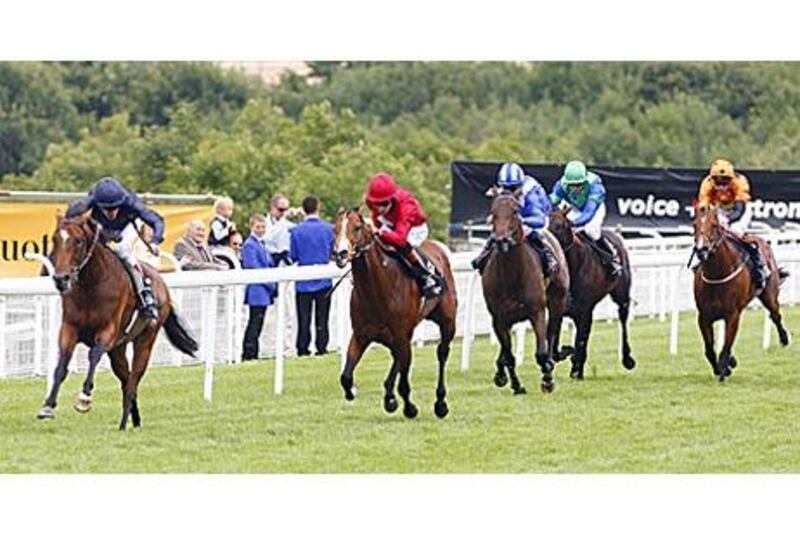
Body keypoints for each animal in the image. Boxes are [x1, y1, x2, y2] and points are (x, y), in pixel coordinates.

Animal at [36, 212, 200, 428]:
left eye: (79, 241)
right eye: (55, 240)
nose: (61, 279)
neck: (91, 286)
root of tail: (162, 283)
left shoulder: (108, 331)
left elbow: (94, 356)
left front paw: (84, 399)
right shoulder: (69, 328)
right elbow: (62, 364)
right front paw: (48, 406)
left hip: (145, 340)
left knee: (133, 380)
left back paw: (123, 424)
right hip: (118, 349)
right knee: (126, 379)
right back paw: (134, 420)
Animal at [332, 208, 456, 420]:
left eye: (357, 227)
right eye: (335, 228)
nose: (340, 253)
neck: (376, 289)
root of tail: (438, 247)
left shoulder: (400, 334)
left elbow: (404, 382)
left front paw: (410, 408)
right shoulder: (361, 335)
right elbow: (345, 377)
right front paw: (354, 391)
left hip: (447, 322)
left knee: (441, 353)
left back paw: (440, 403)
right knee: (397, 357)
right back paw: (389, 396)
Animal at [482, 193, 568, 392]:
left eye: (515, 211)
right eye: (493, 211)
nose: (501, 240)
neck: (511, 273)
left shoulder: (537, 311)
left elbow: (541, 353)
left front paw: (547, 379)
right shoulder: (498, 317)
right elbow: (508, 355)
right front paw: (516, 385)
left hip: (557, 299)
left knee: (551, 331)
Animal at [548, 207, 636, 378]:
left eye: (559, 226)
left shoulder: (584, 310)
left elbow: (581, 341)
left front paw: (576, 370)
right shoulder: (560, 308)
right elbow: (556, 347)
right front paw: (567, 353)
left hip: (621, 296)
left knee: (623, 319)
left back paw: (627, 358)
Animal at [692, 204, 792, 378]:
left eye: (714, 226)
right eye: (694, 225)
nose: (701, 250)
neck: (717, 274)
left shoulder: (733, 315)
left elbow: (725, 349)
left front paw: (724, 368)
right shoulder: (703, 317)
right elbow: (710, 351)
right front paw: (723, 367)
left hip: (769, 295)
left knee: (775, 315)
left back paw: (784, 339)